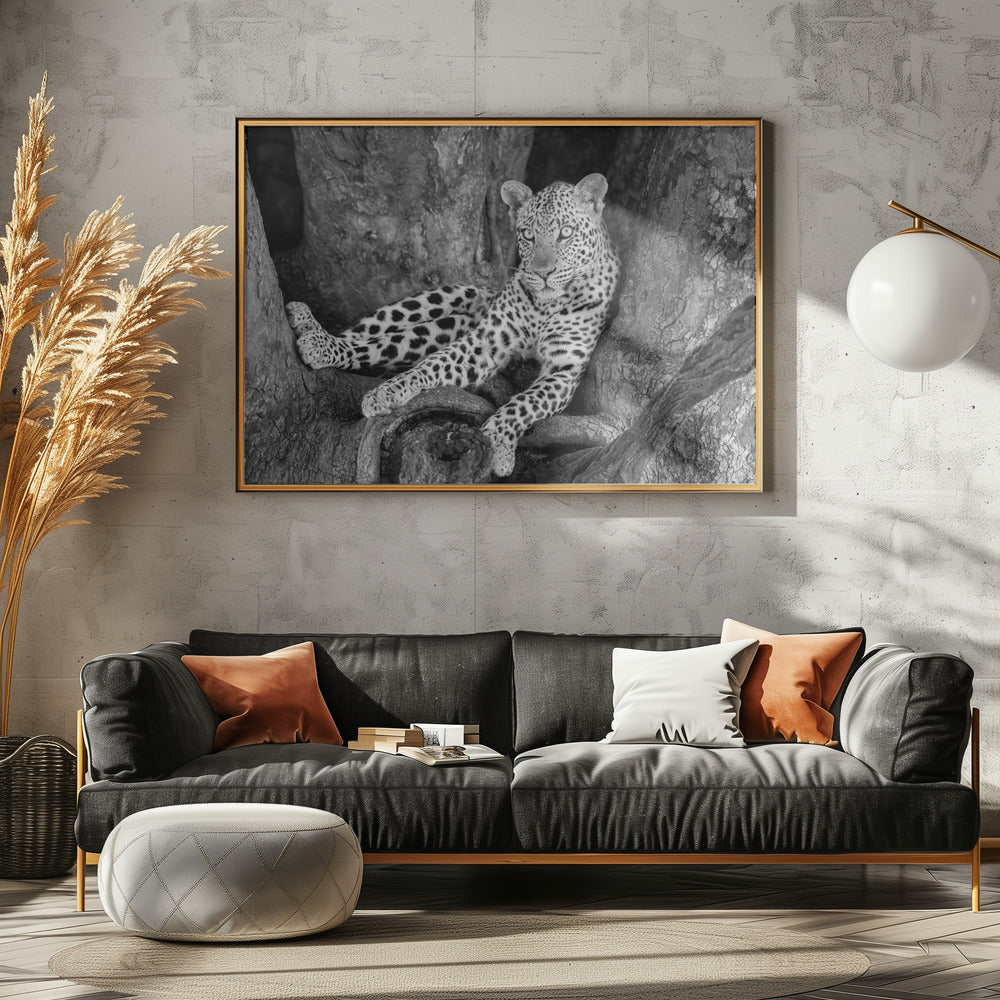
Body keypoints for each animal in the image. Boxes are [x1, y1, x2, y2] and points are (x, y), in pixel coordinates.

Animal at [286, 172, 620, 478]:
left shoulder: (566, 368)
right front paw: (389, 392)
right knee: (365, 338)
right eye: (527, 234)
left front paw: (495, 443)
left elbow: (525, 403)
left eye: (566, 233)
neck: (547, 304)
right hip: (440, 301)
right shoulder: (484, 342)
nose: (543, 273)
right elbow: (432, 365)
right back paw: (313, 333)